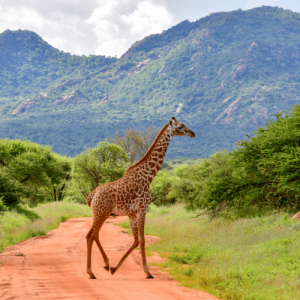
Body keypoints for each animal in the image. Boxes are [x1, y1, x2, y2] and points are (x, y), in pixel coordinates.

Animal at [85, 116, 196, 278]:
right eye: (180, 127)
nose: (192, 133)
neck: (149, 176)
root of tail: (92, 195)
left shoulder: (132, 213)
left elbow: (136, 240)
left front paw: (115, 267)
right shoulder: (143, 208)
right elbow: (142, 240)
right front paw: (147, 271)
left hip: (100, 213)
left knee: (95, 235)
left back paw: (105, 264)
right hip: (101, 213)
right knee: (90, 235)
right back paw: (91, 272)